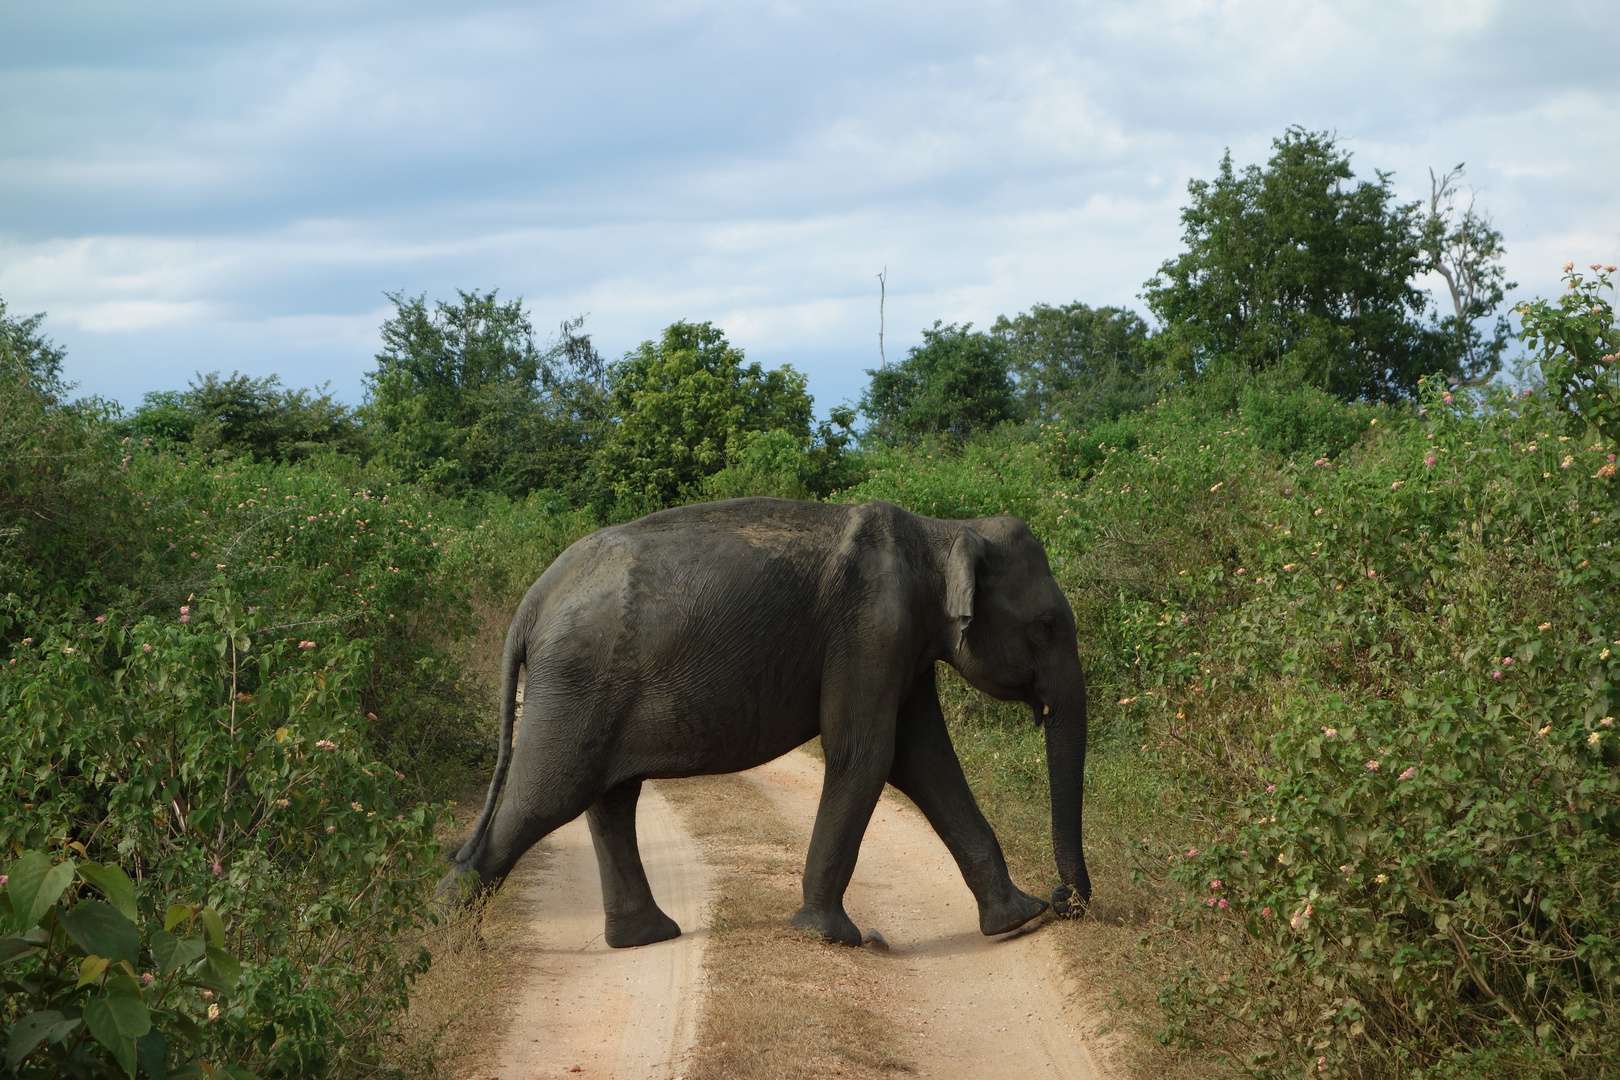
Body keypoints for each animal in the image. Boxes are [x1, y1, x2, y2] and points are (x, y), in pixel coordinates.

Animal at [443, 498, 1088, 945]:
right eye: (1047, 626)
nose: (1066, 900)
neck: (942, 531)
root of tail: (533, 600)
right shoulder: (872, 627)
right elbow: (868, 754)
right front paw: (830, 937)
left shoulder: (904, 644)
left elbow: (924, 760)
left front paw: (1019, 921)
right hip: (578, 681)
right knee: (547, 798)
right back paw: (453, 943)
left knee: (610, 800)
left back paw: (645, 937)